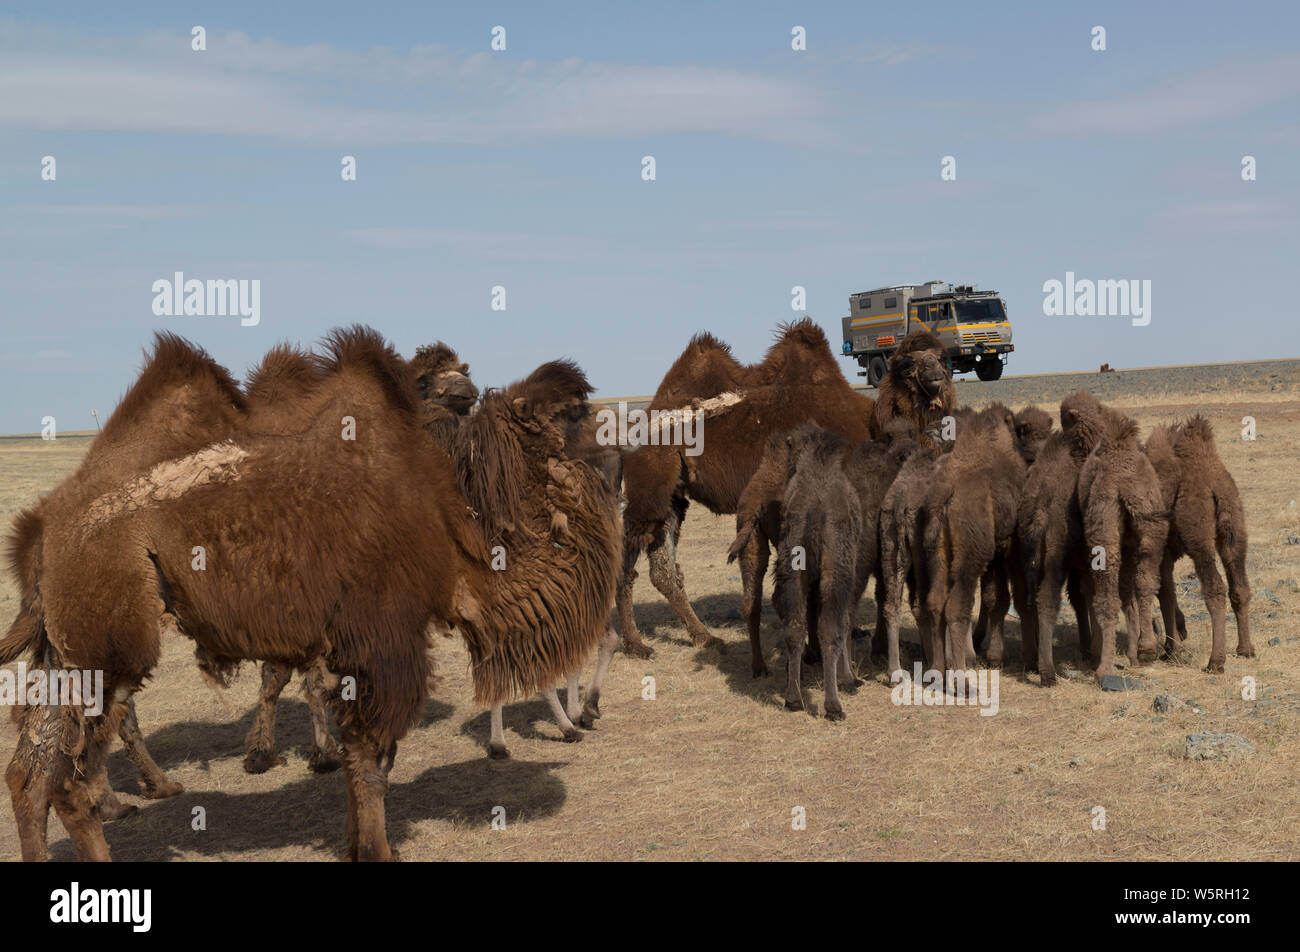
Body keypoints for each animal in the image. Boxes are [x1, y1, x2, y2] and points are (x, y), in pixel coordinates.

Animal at [1, 329, 618, 863]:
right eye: (574, 411)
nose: (619, 444)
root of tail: (40, 533)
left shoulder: (349, 645)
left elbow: (356, 752)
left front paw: (352, 841)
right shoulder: (382, 638)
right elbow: (373, 757)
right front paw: (378, 851)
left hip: (65, 650)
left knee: (31, 772)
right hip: (110, 639)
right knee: (70, 778)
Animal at [618, 316, 873, 658]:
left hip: (672, 497)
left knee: (663, 569)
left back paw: (705, 637)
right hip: (647, 492)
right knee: (626, 563)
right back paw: (636, 644)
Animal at [1149, 416, 1248, 671]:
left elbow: (1164, 592)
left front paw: (1172, 649)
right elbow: (1166, 590)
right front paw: (1177, 637)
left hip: (1197, 536)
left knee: (1214, 588)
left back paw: (1216, 662)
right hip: (1234, 526)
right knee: (1239, 584)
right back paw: (1246, 649)